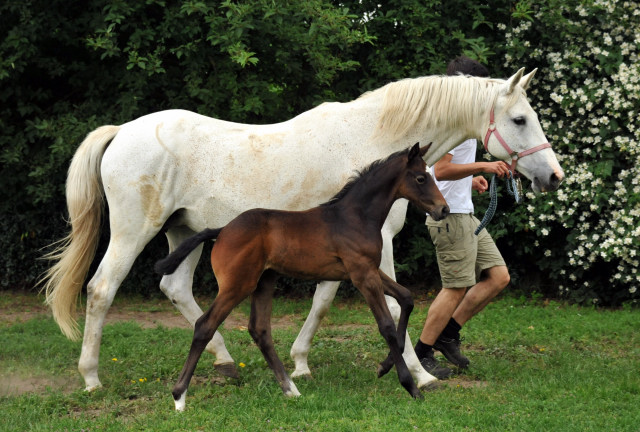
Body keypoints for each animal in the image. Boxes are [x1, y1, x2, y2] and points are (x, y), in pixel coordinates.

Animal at [41, 66, 560, 392]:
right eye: (519, 119)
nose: (553, 176)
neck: (373, 137)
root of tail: (121, 131)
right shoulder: (378, 245)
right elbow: (395, 304)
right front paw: (420, 374)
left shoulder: (342, 252)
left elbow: (325, 300)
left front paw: (302, 363)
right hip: (134, 231)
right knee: (101, 289)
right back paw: (91, 378)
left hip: (182, 233)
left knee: (176, 289)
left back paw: (226, 364)